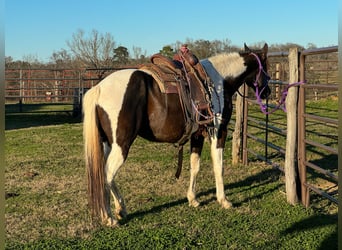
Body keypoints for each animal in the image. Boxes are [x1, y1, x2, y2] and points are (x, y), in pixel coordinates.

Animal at [82, 43, 270, 227]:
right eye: (266, 66)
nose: (267, 92)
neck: (220, 81)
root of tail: (99, 88)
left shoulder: (197, 135)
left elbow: (195, 166)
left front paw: (192, 199)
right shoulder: (218, 131)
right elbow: (219, 166)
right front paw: (223, 200)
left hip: (108, 144)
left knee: (105, 175)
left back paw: (120, 209)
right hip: (121, 145)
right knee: (107, 175)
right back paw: (109, 217)